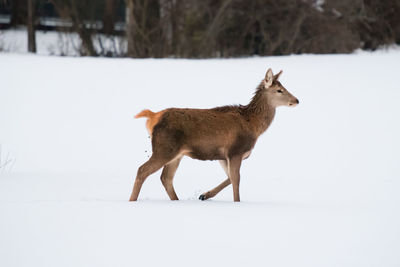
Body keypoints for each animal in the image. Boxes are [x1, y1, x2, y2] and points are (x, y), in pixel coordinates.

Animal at [130, 68, 298, 202]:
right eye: (279, 90)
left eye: (283, 87)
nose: (297, 100)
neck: (253, 126)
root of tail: (153, 117)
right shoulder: (235, 151)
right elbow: (236, 180)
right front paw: (236, 202)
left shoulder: (223, 156)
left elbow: (230, 178)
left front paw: (204, 195)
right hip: (165, 147)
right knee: (142, 170)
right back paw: (132, 201)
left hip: (177, 154)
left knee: (166, 178)